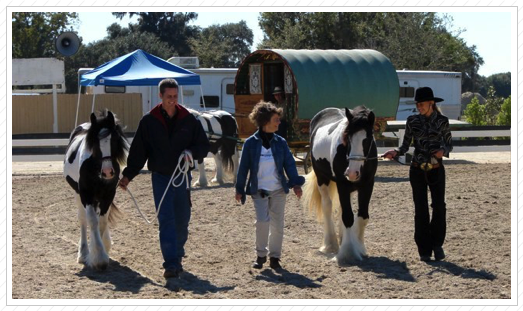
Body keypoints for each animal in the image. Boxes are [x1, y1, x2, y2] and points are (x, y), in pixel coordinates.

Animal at [63, 111, 129, 272]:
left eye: (114, 139)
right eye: (95, 143)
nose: (107, 172)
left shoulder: (108, 194)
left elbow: (102, 222)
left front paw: (102, 250)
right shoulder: (86, 195)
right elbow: (92, 221)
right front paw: (98, 257)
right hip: (78, 195)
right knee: (83, 219)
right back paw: (83, 253)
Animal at [300, 107, 378, 266]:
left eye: (367, 139)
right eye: (347, 138)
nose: (352, 173)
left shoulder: (367, 185)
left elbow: (363, 216)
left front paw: (359, 247)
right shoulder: (343, 185)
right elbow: (348, 217)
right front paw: (348, 253)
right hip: (322, 179)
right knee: (327, 207)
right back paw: (331, 244)